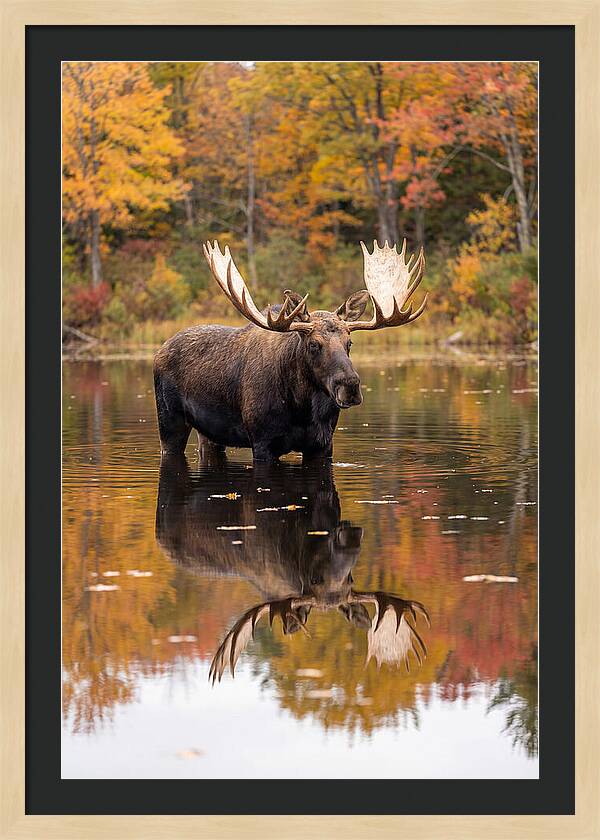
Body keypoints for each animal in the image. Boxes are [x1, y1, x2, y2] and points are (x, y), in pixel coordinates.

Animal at [153, 239, 427, 462]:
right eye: (313, 344)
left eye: (349, 343)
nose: (349, 386)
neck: (302, 408)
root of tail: (160, 350)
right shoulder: (262, 442)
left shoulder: (322, 444)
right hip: (169, 421)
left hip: (209, 433)